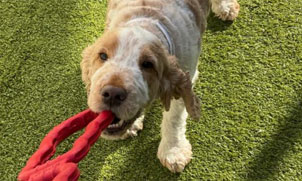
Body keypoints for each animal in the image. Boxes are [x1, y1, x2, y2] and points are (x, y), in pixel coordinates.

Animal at [80, 0, 238, 173]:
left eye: (148, 64)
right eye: (102, 55)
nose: (112, 94)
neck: (146, 20)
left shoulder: (187, 75)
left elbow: (174, 118)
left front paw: (173, 151)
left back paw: (226, 7)